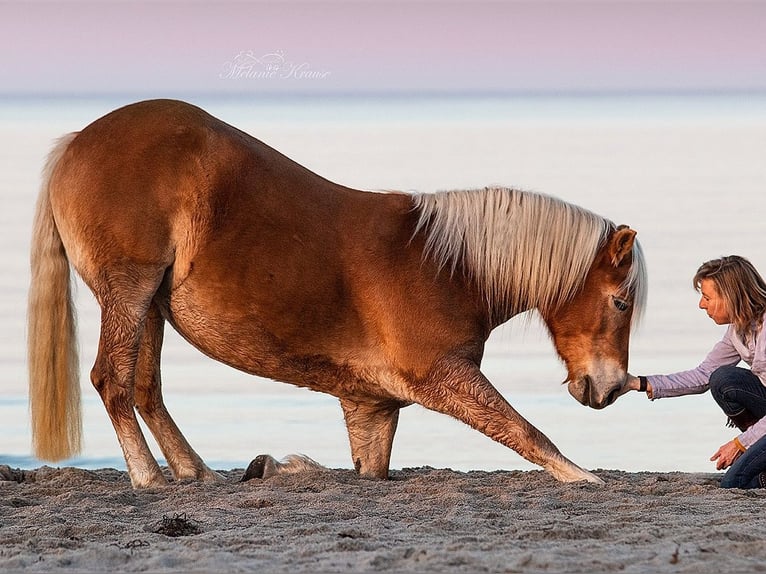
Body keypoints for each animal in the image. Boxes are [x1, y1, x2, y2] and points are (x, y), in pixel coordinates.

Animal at [27, 99, 648, 490]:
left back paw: (194, 471)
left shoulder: (371, 407)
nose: (610, 388)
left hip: (151, 303)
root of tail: (76, 143)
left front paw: (275, 466)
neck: (449, 266)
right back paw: (149, 477)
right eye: (620, 303)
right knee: (113, 381)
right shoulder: (444, 377)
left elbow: (363, 472)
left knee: (146, 388)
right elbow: (526, 431)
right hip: (129, 290)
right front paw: (586, 477)